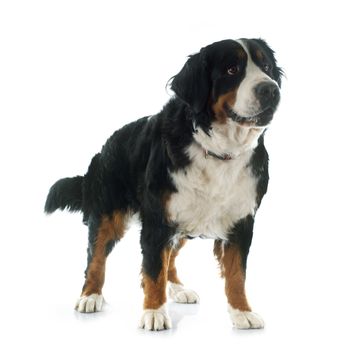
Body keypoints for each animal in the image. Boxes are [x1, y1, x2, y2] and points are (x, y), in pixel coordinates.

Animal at [45, 38, 284, 330]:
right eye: (231, 70)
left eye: (266, 67)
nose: (270, 89)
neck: (219, 151)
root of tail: (108, 143)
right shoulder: (157, 219)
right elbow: (153, 269)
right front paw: (154, 312)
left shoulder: (241, 220)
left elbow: (237, 273)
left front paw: (242, 312)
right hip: (109, 213)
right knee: (97, 256)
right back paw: (90, 295)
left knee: (169, 257)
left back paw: (179, 289)